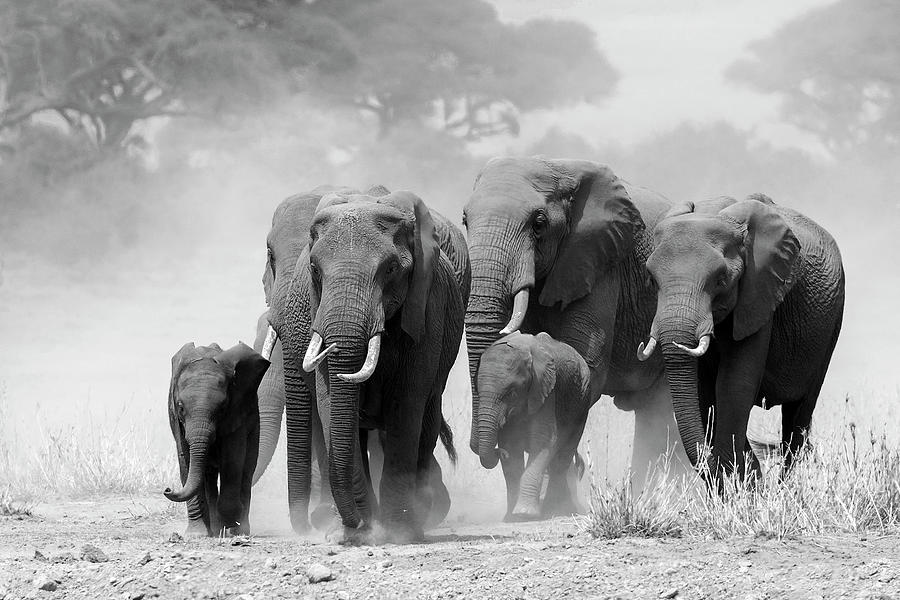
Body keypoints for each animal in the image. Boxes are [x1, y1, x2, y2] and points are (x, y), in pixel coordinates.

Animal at [640, 195, 844, 480]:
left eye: (721, 279)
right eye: (651, 279)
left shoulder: (759, 291)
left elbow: (735, 383)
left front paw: (740, 480)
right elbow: (705, 392)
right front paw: (744, 479)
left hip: (831, 324)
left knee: (798, 418)